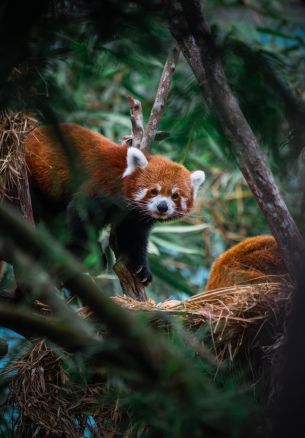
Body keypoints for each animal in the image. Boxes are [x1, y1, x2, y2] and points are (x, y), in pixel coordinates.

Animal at [23, 125, 204, 286]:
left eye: (175, 196)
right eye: (154, 191)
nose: (162, 206)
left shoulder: (135, 218)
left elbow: (134, 237)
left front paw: (141, 268)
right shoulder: (103, 186)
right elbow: (81, 213)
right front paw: (84, 250)